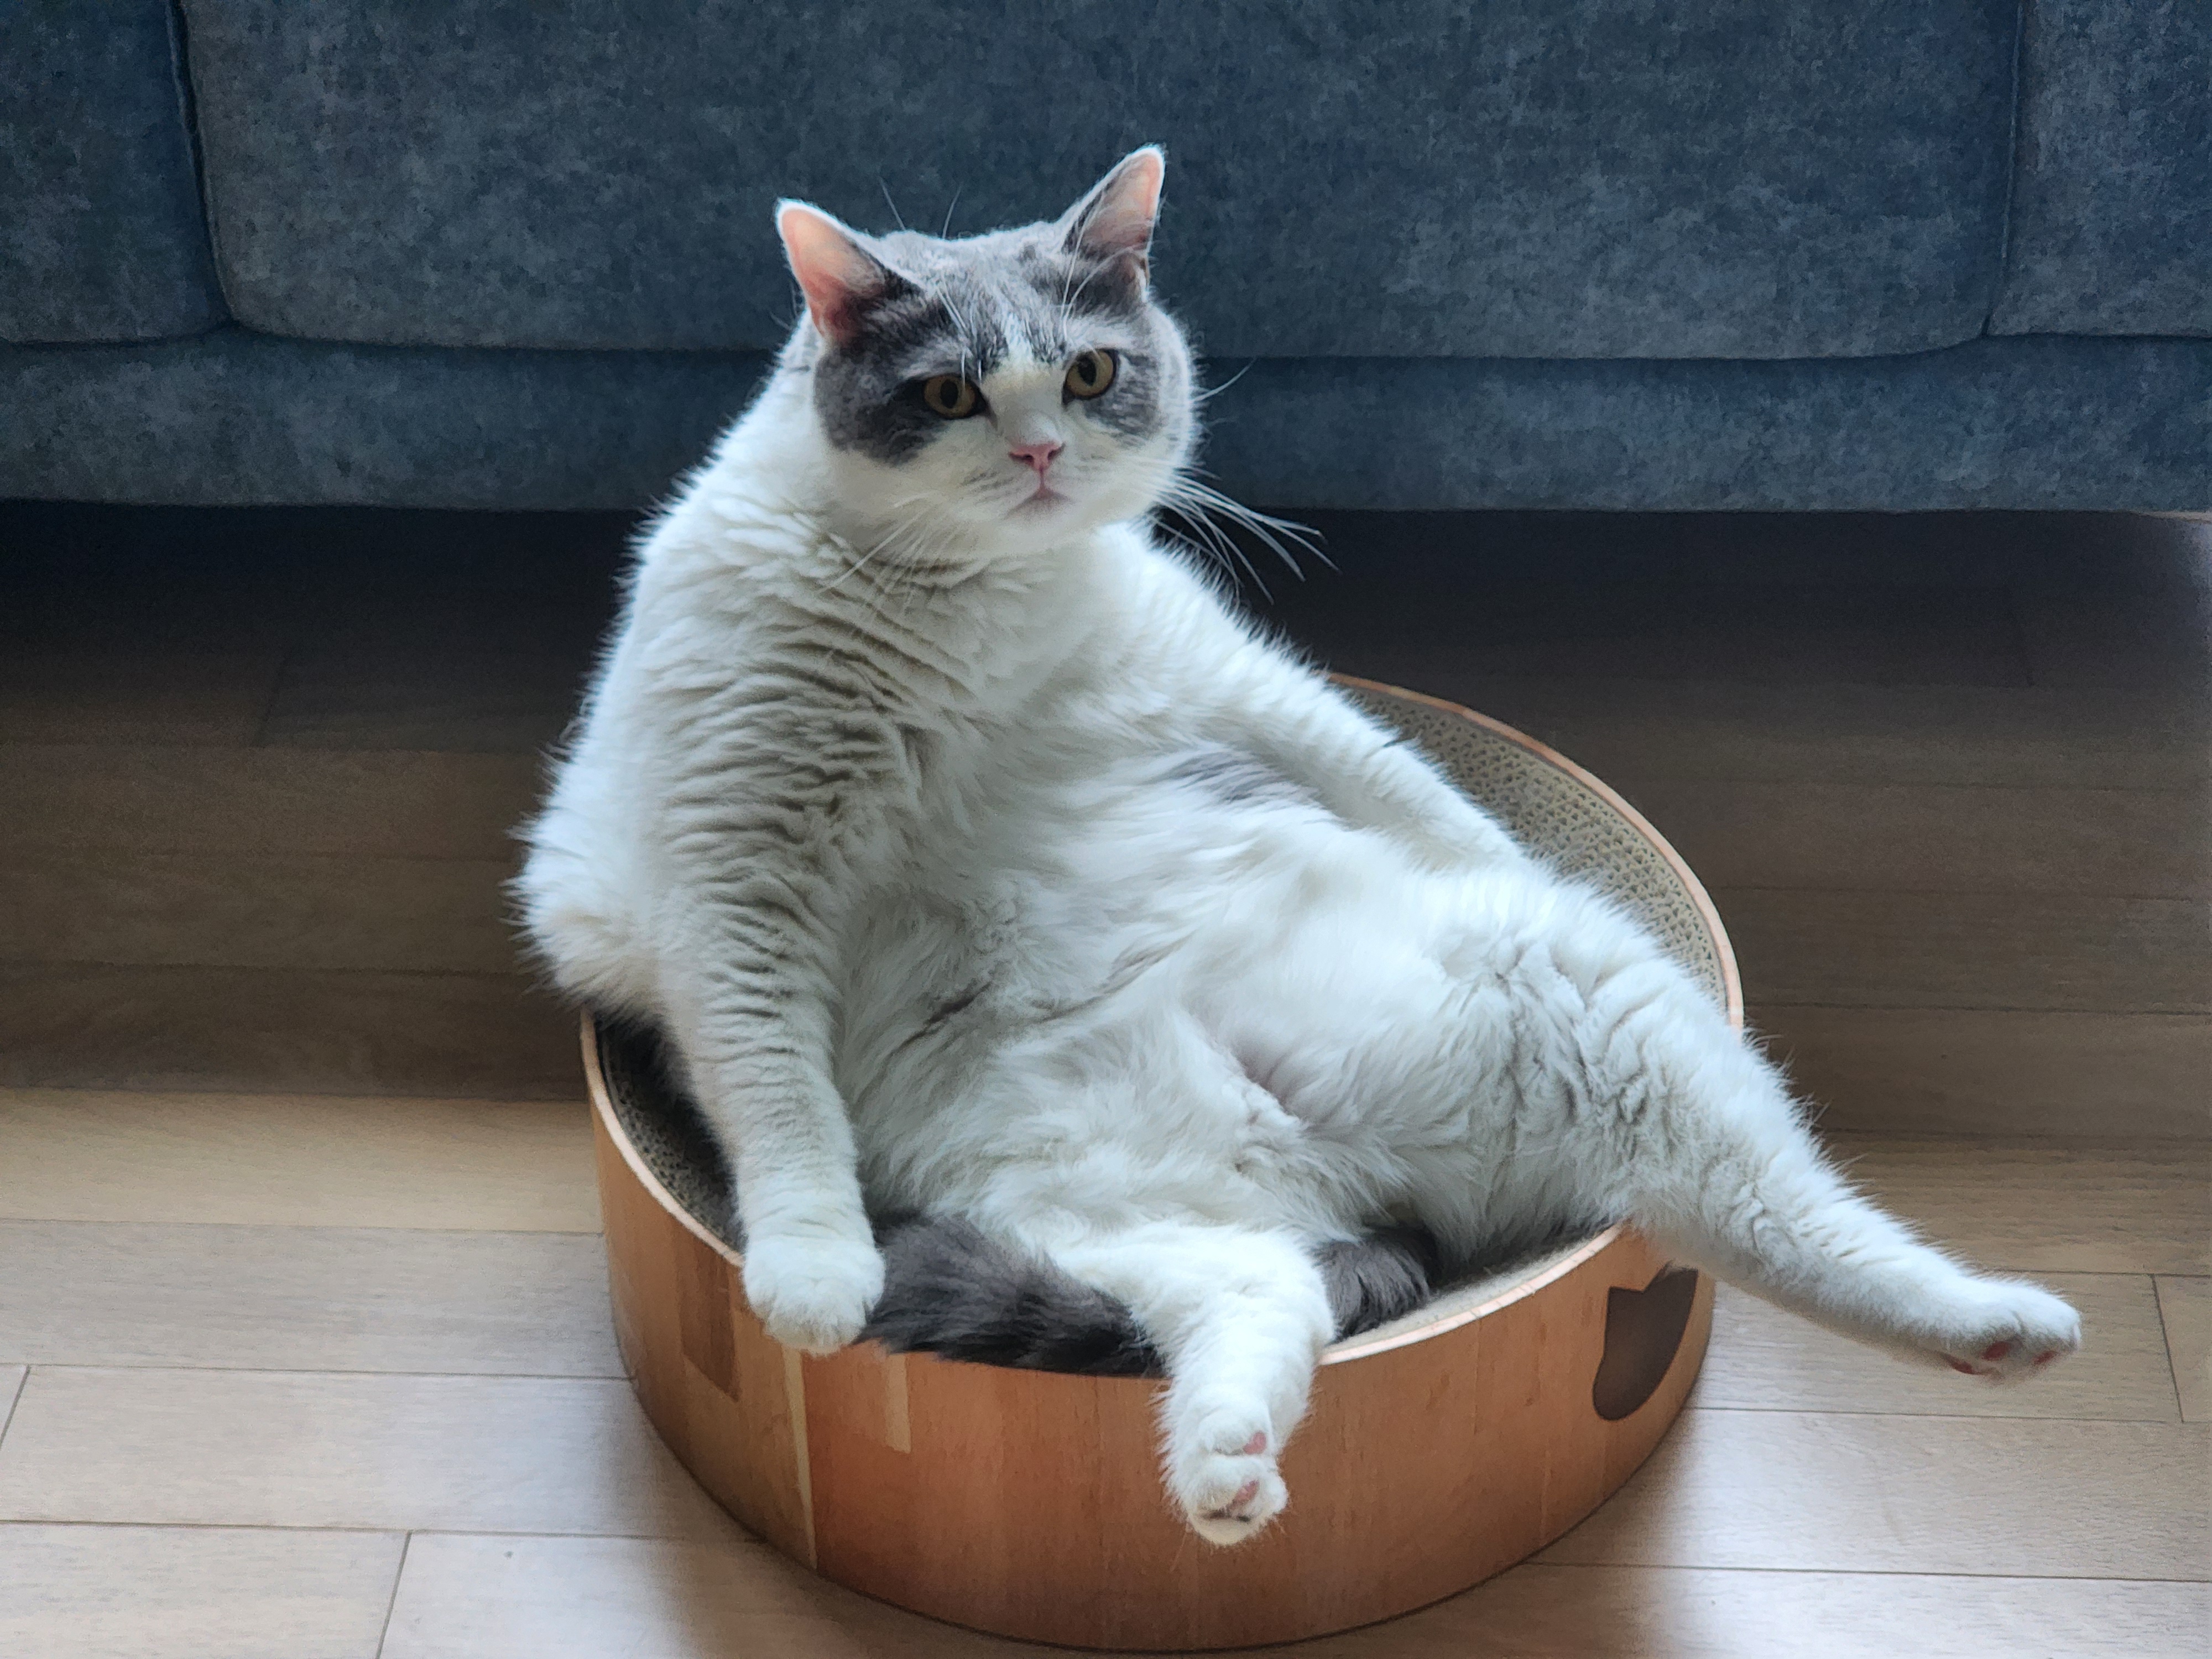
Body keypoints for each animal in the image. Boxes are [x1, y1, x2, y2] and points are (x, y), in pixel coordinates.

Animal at [517, 147, 2082, 1545]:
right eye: (949, 390)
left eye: (1089, 375)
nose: (1036, 449)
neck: (973, 612)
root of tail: (1332, 1162)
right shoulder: (736, 859)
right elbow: (769, 1079)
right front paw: (810, 1271)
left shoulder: (1221, 682)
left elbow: (1405, 784)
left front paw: (1512, 840)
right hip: (1105, 1218)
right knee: (1270, 1299)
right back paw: (1224, 1473)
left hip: (1598, 1021)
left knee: (1783, 1223)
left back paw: (2000, 1325)